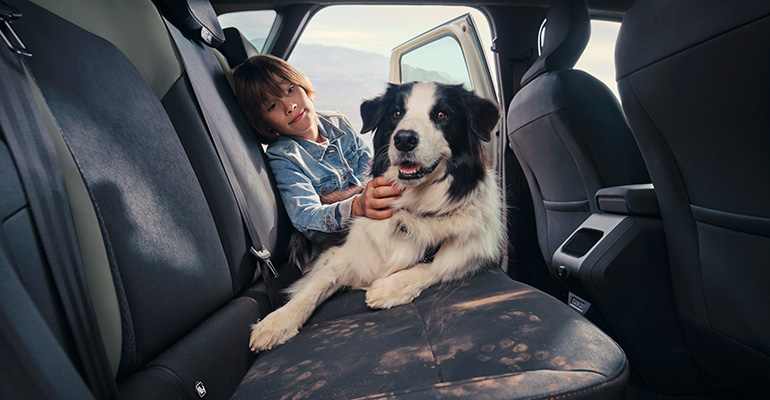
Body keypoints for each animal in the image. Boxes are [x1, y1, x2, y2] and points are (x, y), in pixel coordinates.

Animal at [249, 82, 508, 354]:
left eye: (441, 115)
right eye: (395, 113)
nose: (404, 139)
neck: (416, 203)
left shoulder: (473, 252)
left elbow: (437, 267)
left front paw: (389, 288)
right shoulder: (340, 254)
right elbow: (311, 289)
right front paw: (277, 322)